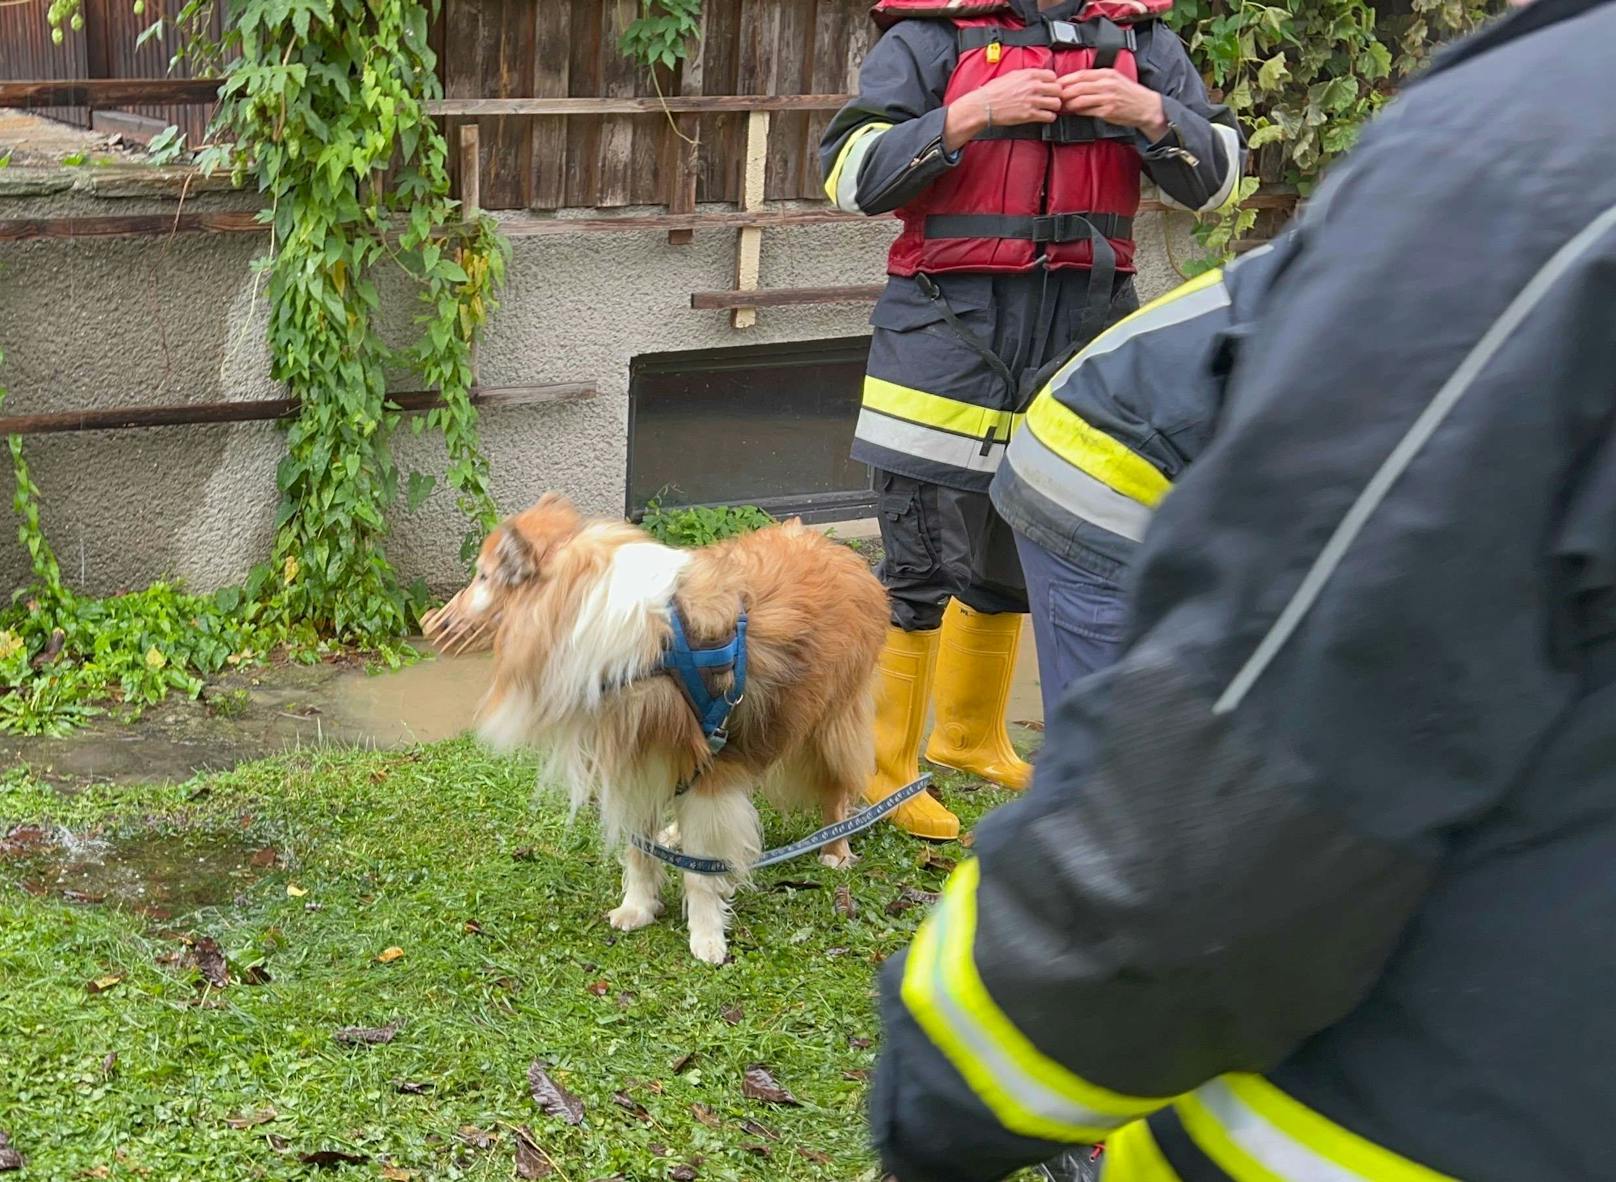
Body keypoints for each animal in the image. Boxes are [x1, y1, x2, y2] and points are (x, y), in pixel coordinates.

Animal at [420, 494, 885, 963]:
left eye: (483, 575)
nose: (434, 621)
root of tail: (836, 549)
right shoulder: (634, 758)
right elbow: (638, 850)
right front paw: (638, 908)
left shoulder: (707, 765)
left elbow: (702, 871)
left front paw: (706, 937)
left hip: (830, 725)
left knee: (837, 788)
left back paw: (835, 849)